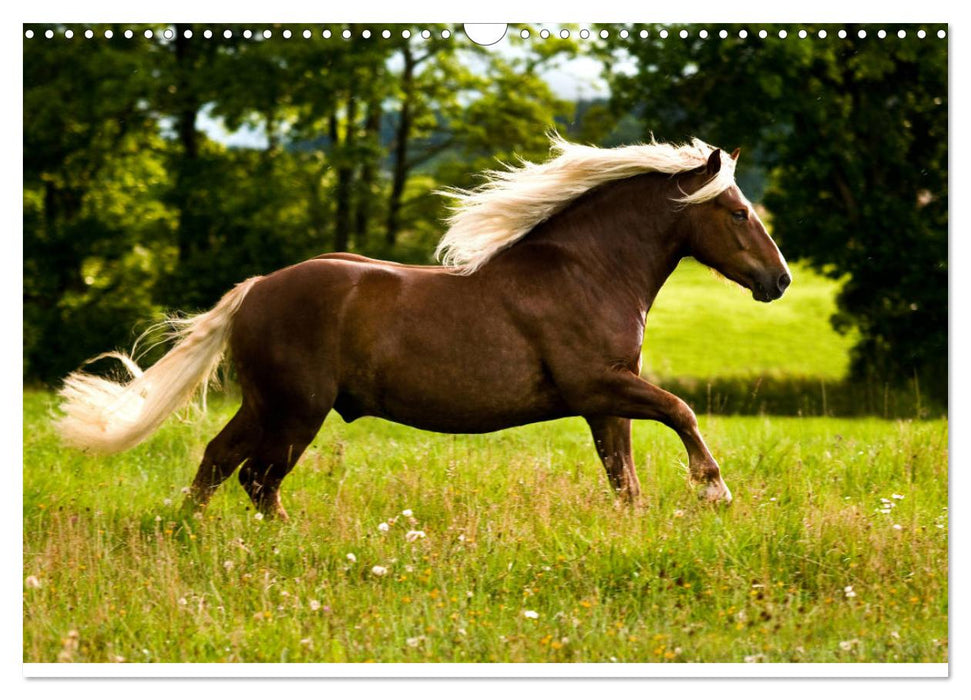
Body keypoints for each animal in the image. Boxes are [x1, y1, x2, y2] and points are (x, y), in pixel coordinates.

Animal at [57, 137, 788, 520]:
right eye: (735, 210)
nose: (778, 280)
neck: (587, 271)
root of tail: (257, 288)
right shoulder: (596, 385)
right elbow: (681, 411)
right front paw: (715, 489)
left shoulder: (605, 400)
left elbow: (624, 478)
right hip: (296, 408)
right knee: (254, 477)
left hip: (269, 405)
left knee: (219, 462)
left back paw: (193, 534)